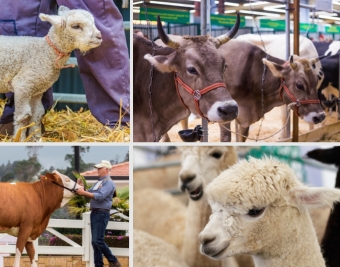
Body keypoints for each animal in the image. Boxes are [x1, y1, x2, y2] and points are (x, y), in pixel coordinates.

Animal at [0, 5, 101, 141]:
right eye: (76, 26)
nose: (99, 37)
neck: (47, 51)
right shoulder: (23, 85)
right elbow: (24, 116)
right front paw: (19, 139)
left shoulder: (37, 89)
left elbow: (37, 114)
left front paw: (36, 138)